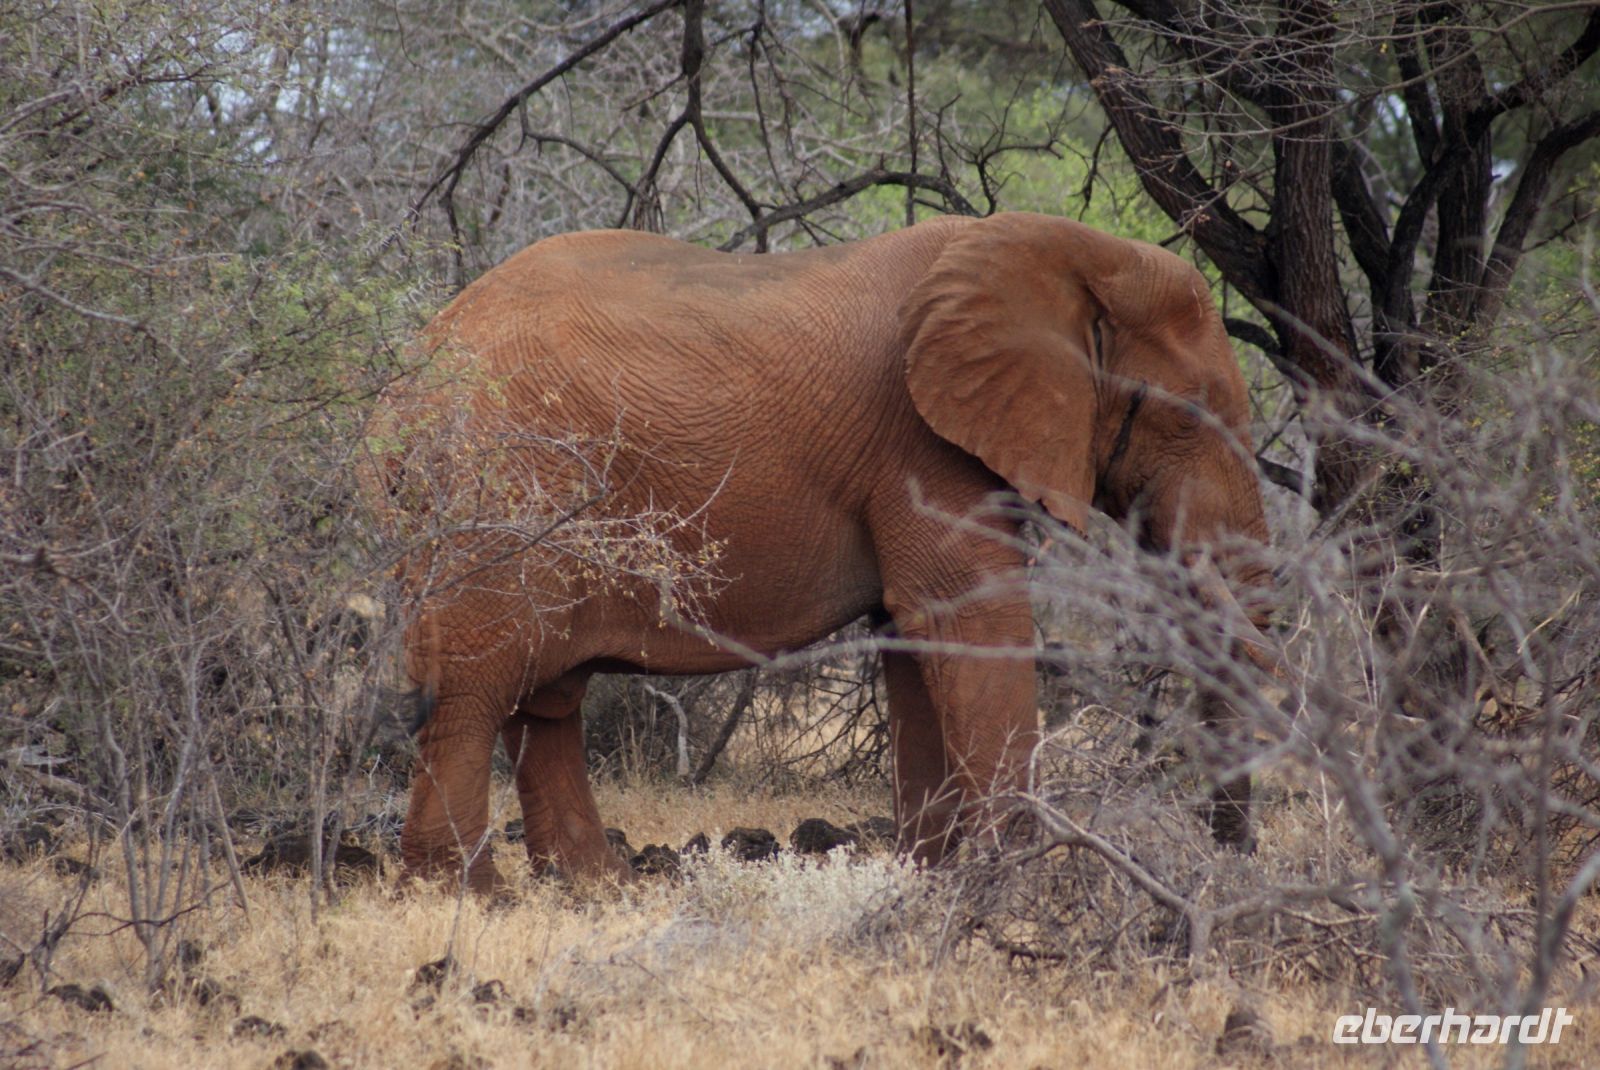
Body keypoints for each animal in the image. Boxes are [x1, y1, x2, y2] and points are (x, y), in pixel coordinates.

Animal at [368, 211, 1276, 893]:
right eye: (1188, 414)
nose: (1231, 852)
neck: (1063, 250)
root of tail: (403, 377)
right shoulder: (920, 445)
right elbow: (970, 623)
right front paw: (1019, 880)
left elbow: (915, 642)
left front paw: (930, 877)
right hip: (494, 490)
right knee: (474, 688)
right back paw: (464, 894)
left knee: (545, 698)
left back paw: (599, 890)